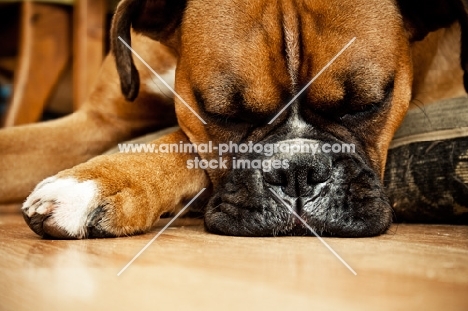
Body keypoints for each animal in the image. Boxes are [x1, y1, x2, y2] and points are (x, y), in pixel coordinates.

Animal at [0, 0, 466, 239]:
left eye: (366, 104)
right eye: (222, 111)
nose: (298, 170)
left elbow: (177, 140)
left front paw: (94, 182)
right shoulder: (95, 122)